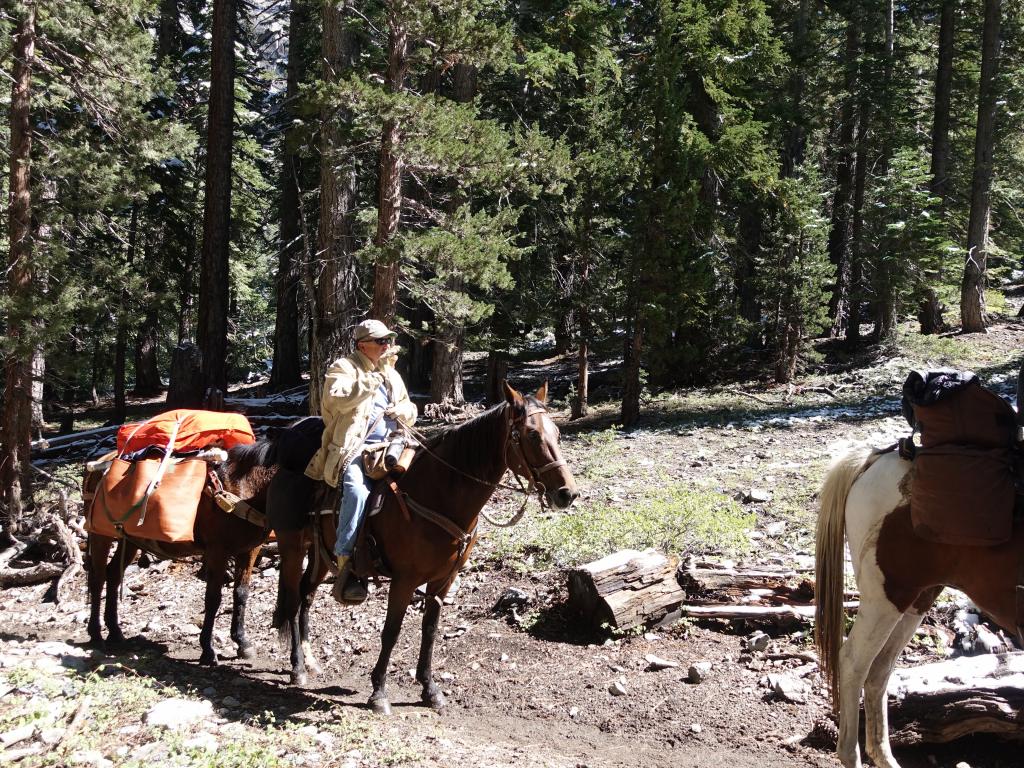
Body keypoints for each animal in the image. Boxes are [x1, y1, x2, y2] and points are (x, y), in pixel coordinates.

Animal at [85, 442, 278, 663]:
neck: (244, 487)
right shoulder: (218, 551)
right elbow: (213, 598)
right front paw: (207, 650)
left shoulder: (249, 550)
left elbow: (241, 593)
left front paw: (242, 642)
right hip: (100, 535)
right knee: (98, 578)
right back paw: (96, 634)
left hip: (129, 539)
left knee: (113, 574)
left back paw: (115, 632)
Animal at [268, 382, 581, 712]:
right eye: (532, 435)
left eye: (557, 434)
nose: (568, 494)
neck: (438, 494)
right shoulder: (405, 580)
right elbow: (391, 631)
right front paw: (379, 692)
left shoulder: (444, 579)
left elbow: (430, 630)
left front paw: (430, 689)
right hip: (291, 547)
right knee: (292, 598)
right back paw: (297, 668)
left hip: (319, 553)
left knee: (306, 594)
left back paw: (310, 660)